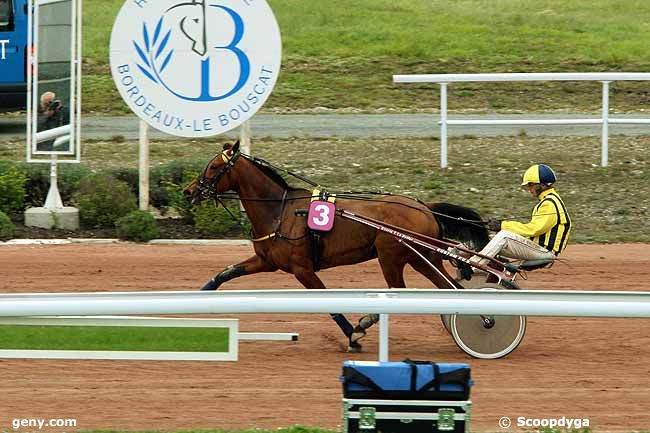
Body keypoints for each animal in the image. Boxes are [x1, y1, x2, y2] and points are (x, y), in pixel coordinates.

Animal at [182, 142, 486, 352]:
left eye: (213, 166)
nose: (189, 191)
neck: (281, 211)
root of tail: (424, 206)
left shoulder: (302, 269)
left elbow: (331, 305)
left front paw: (353, 335)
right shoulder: (266, 261)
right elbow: (225, 273)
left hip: (392, 256)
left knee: (401, 291)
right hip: (421, 256)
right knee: (446, 284)